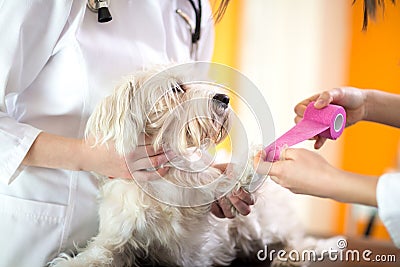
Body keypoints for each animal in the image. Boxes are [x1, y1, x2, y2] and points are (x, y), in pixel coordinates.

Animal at [50, 65, 340, 267]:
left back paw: (292, 255)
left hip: (260, 224)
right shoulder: (115, 238)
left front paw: (256, 154)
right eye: (176, 89)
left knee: (299, 240)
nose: (224, 97)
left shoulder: (197, 236)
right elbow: (96, 256)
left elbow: (233, 179)